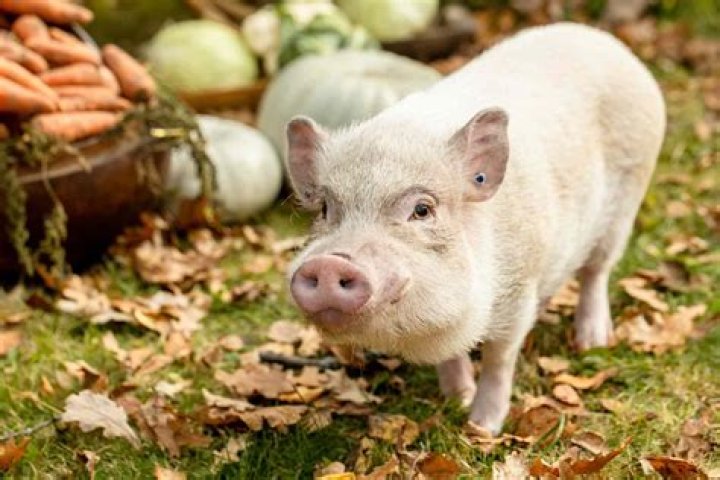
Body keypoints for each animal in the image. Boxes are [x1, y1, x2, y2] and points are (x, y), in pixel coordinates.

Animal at [284, 23, 665, 434]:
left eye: (422, 210)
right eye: (325, 208)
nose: (329, 263)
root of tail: (601, 39)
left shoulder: (518, 290)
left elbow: (500, 359)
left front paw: (482, 427)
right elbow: (451, 356)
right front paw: (457, 398)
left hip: (627, 201)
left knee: (596, 272)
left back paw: (592, 342)